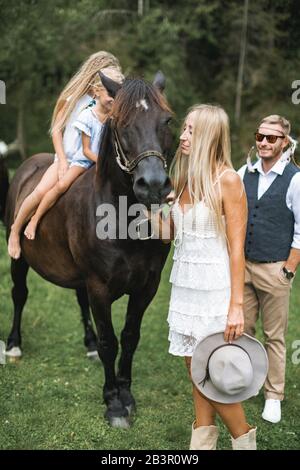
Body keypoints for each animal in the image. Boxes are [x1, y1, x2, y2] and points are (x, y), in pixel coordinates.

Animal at [2, 74, 172, 430]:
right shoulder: (100, 287)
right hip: (19, 260)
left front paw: (127, 395)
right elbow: (111, 342)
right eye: (121, 123)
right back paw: (13, 345)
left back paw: (88, 344)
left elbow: (130, 337)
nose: (152, 185)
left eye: (167, 120)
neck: (122, 219)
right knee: (19, 294)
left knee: (79, 300)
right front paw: (114, 404)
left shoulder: (146, 288)